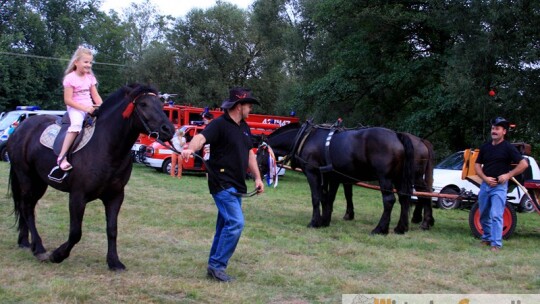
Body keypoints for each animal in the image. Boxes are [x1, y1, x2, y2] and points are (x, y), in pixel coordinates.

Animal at [258, 121, 418, 235]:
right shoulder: (329, 176)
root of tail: (397, 135)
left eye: (258, 153)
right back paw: (400, 228)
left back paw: (380, 229)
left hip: (385, 178)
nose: (257, 174)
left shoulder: (312, 173)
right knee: (404, 199)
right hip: (398, 178)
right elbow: (326, 198)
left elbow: (316, 197)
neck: (304, 138)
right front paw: (324, 221)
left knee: (389, 200)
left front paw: (314, 222)